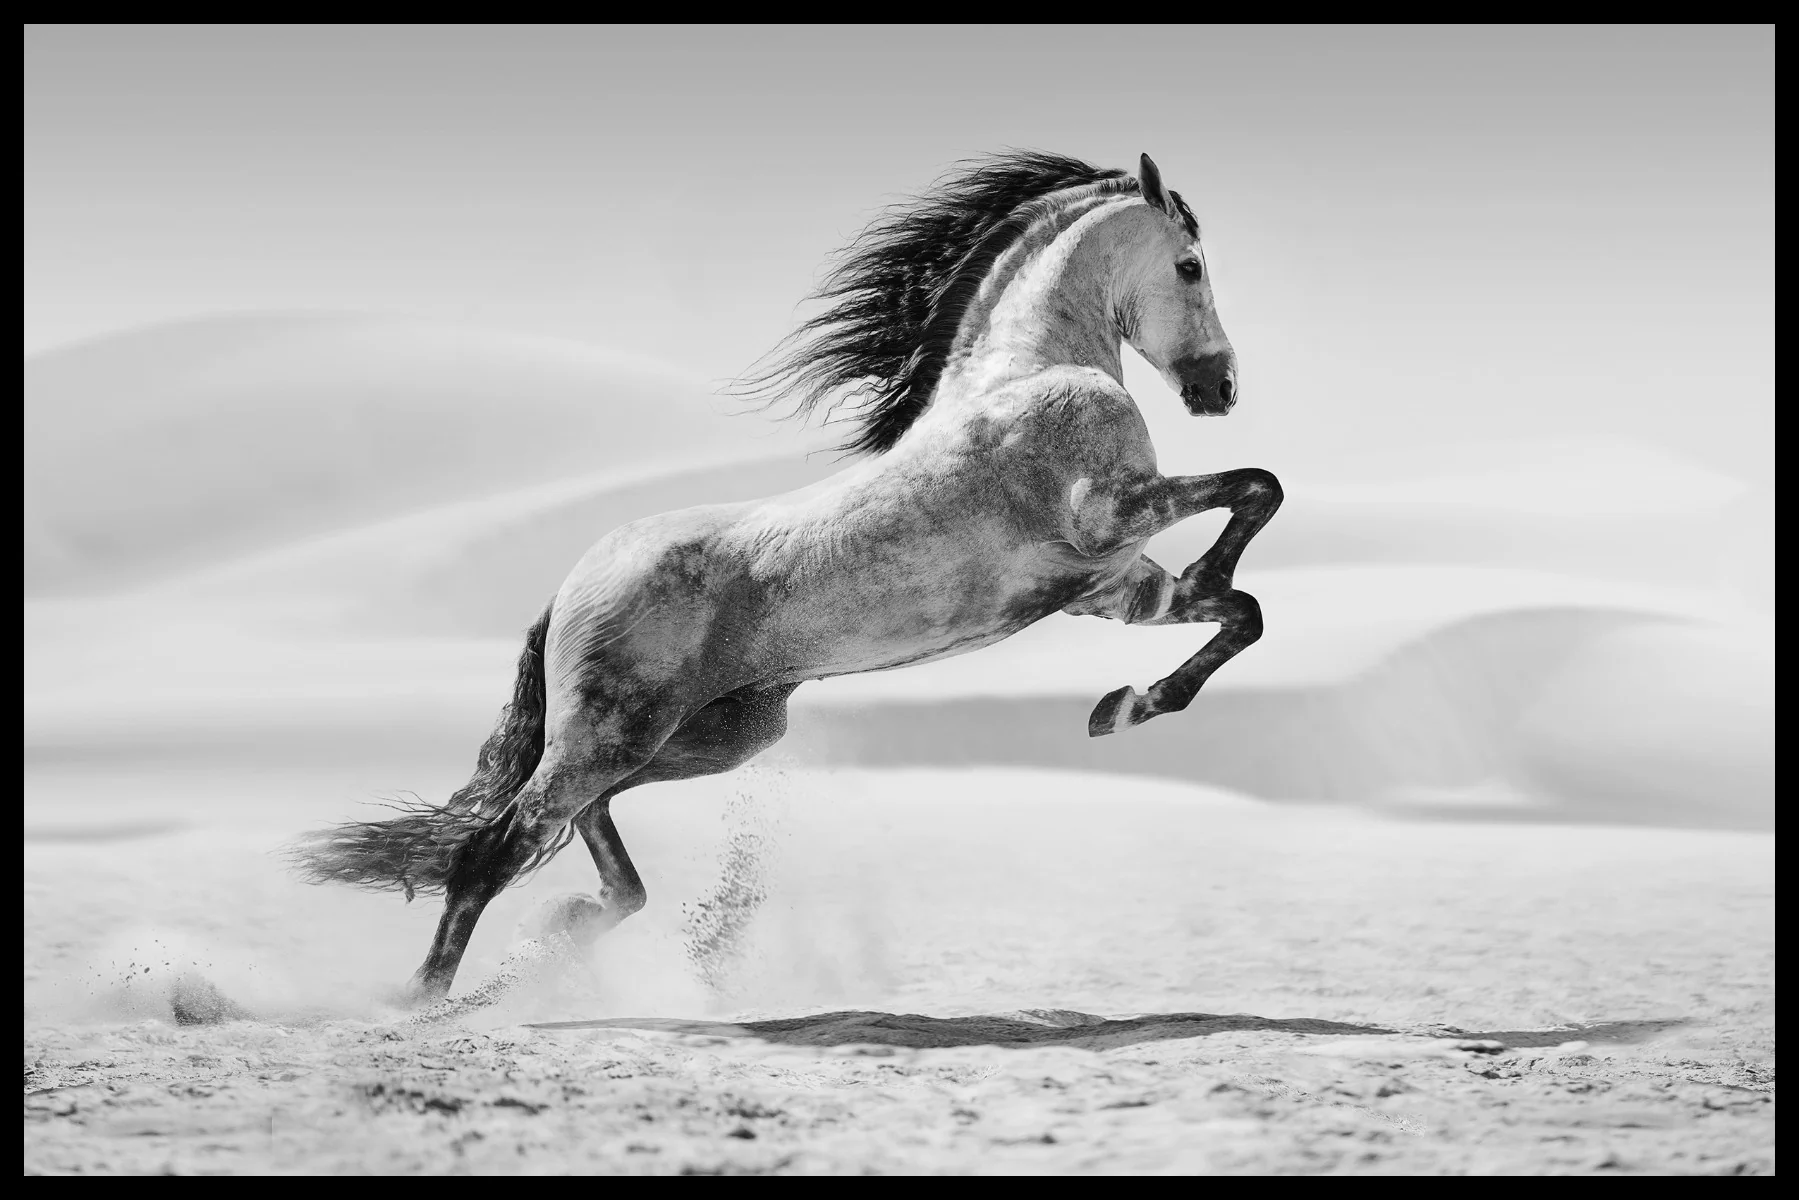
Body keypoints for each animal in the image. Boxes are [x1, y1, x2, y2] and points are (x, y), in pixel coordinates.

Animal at [293, 150, 1283, 1003]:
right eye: (1190, 265)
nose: (1220, 389)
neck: (1028, 373)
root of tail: (570, 585)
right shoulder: (1108, 516)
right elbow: (1257, 489)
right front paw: (1142, 680)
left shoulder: (1111, 589)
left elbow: (1241, 610)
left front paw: (1126, 706)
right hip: (615, 734)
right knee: (497, 845)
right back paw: (422, 1003)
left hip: (707, 737)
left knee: (583, 831)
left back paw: (562, 932)